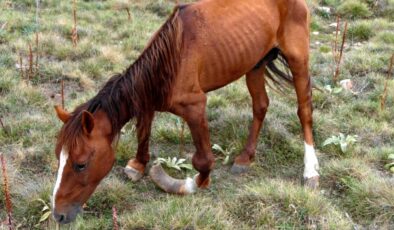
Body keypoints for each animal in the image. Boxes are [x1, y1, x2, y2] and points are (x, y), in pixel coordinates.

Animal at [52, 0, 318, 224]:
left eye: (81, 164)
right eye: (59, 158)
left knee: (304, 110)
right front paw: (138, 165)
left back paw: (311, 171)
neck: (170, 60)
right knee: (260, 106)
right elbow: (143, 133)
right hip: (255, 63)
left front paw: (189, 184)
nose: (58, 215)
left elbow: (203, 161)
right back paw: (245, 157)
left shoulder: (195, 107)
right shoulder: (147, 100)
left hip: (298, 58)